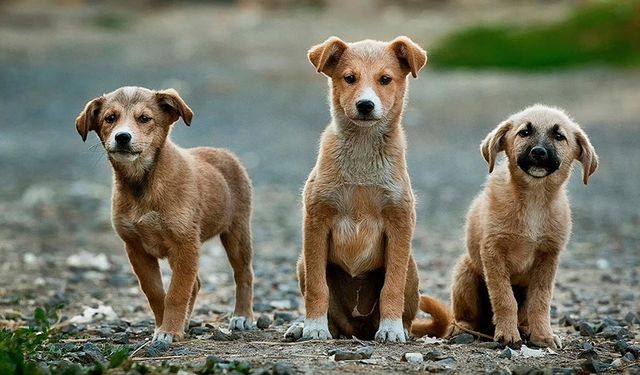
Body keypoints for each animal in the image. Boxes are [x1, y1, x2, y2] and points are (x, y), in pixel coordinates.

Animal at [75, 86, 255, 344]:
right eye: (110, 118)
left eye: (144, 118)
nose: (122, 137)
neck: (143, 184)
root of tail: (224, 153)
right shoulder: (136, 248)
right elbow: (156, 292)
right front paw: (165, 326)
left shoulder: (185, 244)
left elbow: (177, 293)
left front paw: (169, 330)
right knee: (196, 283)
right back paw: (187, 322)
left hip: (237, 232)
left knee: (244, 274)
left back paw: (242, 316)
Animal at [284, 37, 450, 344]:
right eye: (349, 78)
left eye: (385, 79)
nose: (365, 105)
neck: (362, 151)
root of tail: (358, 327)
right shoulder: (316, 220)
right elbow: (317, 287)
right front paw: (313, 326)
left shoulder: (399, 222)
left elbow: (391, 287)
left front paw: (391, 328)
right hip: (302, 262)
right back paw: (305, 326)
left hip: (411, 267)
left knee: (406, 309)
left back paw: (399, 328)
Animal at [444, 105, 600, 350]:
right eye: (524, 132)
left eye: (559, 136)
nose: (538, 152)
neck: (534, 199)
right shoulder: (493, 252)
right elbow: (504, 298)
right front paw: (508, 334)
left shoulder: (548, 257)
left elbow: (541, 301)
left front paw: (543, 335)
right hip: (465, 272)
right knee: (466, 316)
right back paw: (462, 328)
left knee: (524, 312)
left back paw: (525, 328)